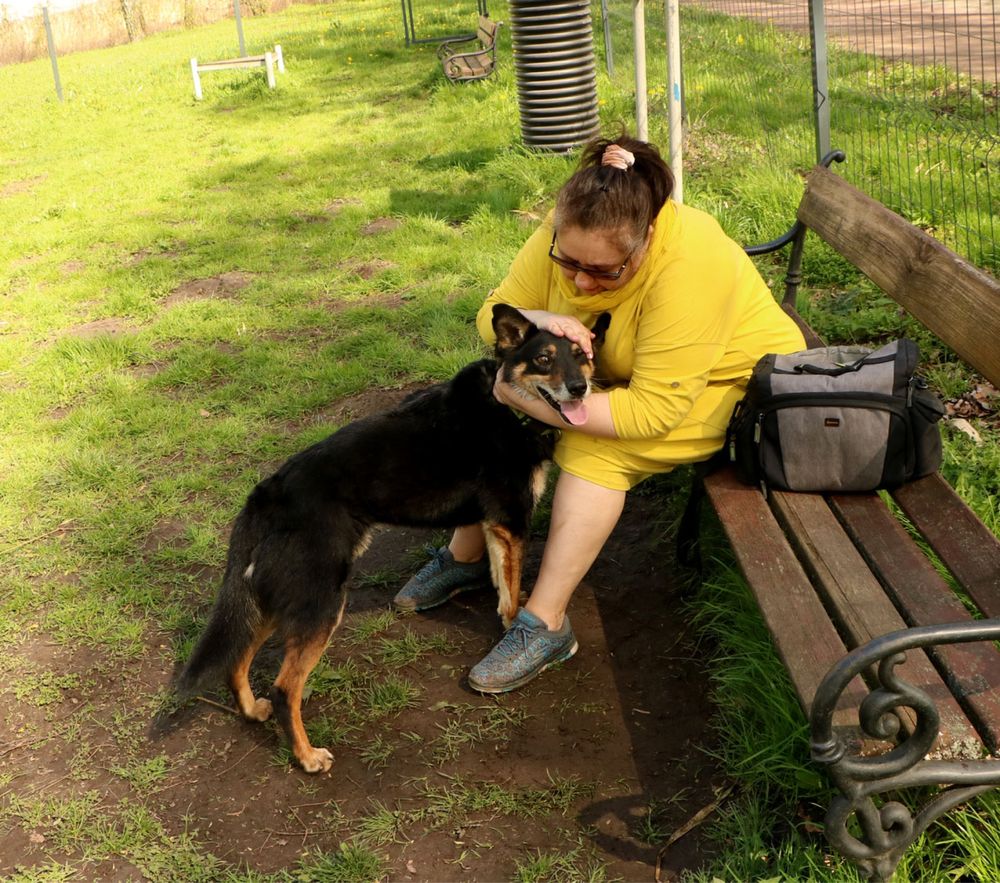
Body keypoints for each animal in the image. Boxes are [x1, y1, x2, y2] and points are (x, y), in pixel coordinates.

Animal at [176, 304, 608, 772]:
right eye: (544, 359)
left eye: (581, 356)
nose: (579, 388)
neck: (507, 405)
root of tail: (265, 496)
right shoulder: (511, 521)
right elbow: (509, 594)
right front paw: (516, 631)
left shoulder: (495, 526)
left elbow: (501, 584)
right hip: (321, 604)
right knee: (285, 686)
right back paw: (307, 757)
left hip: (281, 596)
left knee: (237, 659)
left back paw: (252, 710)